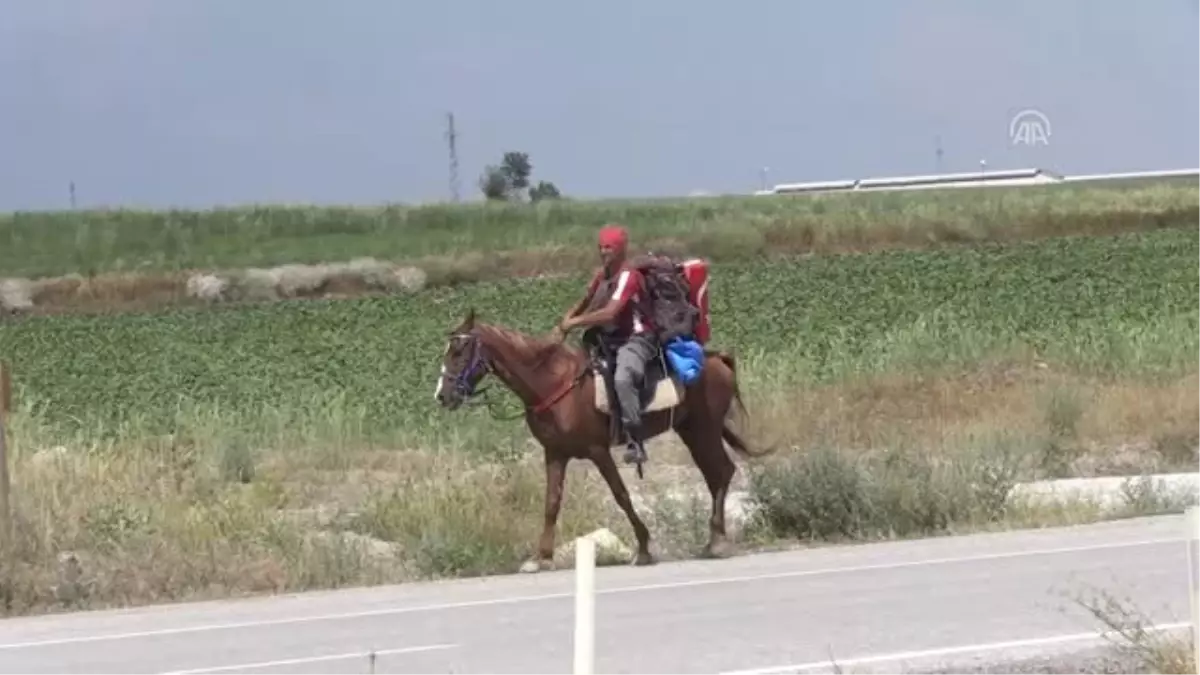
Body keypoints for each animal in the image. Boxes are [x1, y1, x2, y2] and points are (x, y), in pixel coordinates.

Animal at [436, 307, 772, 569]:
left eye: (459, 352)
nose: (442, 395)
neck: (552, 384)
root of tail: (717, 359)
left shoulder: (598, 451)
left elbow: (621, 495)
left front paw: (644, 549)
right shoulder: (555, 453)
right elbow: (551, 503)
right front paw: (541, 557)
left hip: (704, 428)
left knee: (720, 472)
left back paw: (717, 542)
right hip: (691, 429)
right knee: (716, 474)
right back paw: (714, 540)